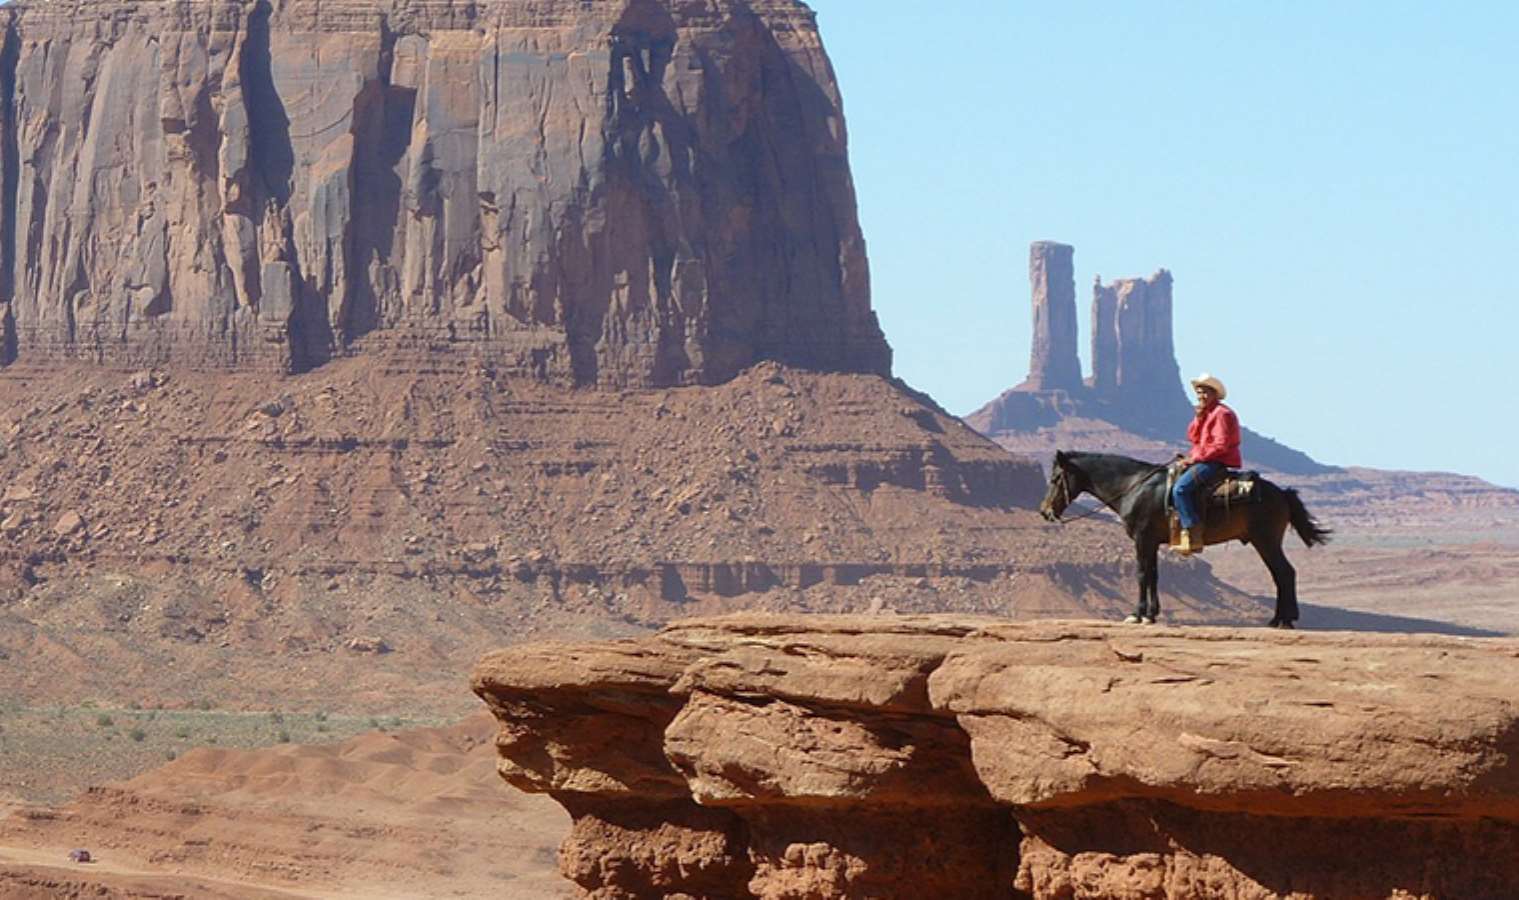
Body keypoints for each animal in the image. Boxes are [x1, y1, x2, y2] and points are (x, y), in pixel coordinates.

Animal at [1038, 450, 1336, 626]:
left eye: (1054, 478)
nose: (1044, 511)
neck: (1133, 486)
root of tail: (1282, 493)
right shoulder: (1152, 542)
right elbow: (1154, 575)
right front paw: (1152, 614)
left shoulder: (1142, 538)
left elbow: (1142, 574)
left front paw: (1137, 614)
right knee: (1282, 574)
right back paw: (1279, 619)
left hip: (1266, 540)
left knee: (1284, 573)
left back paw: (1284, 620)